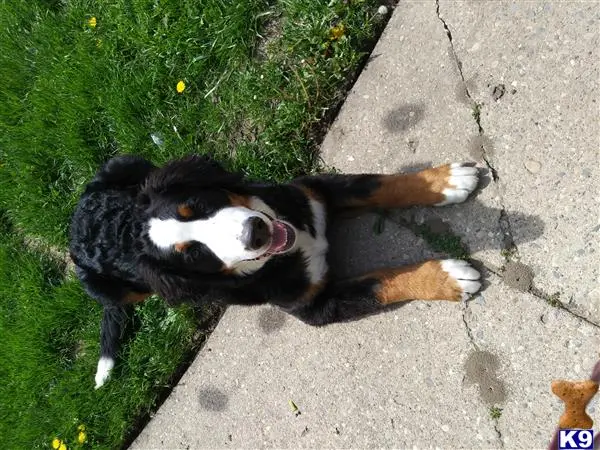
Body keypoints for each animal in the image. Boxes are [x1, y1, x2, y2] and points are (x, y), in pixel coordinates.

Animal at [69, 154, 482, 386]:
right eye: (195, 256)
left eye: (195, 203)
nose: (255, 232)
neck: (296, 242)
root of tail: (74, 228)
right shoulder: (317, 308)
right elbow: (380, 283)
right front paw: (448, 277)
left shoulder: (313, 189)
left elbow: (379, 185)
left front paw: (445, 182)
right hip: (114, 290)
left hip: (128, 163)